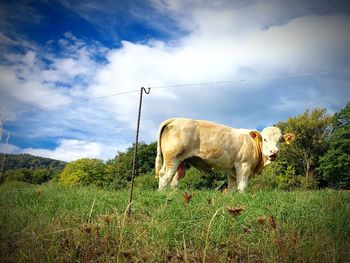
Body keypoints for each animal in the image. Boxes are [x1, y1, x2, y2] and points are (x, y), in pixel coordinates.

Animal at [154, 119, 294, 192]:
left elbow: (232, 187)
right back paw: (162, 194)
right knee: (165, 176)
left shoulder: (231, 170)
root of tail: (176, 119)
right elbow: (242, 187)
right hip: (172, 158)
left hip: (180, 161)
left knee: (174, 179)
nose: (274, 152)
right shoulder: (243, 165)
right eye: (265, 139)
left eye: (280, 140)